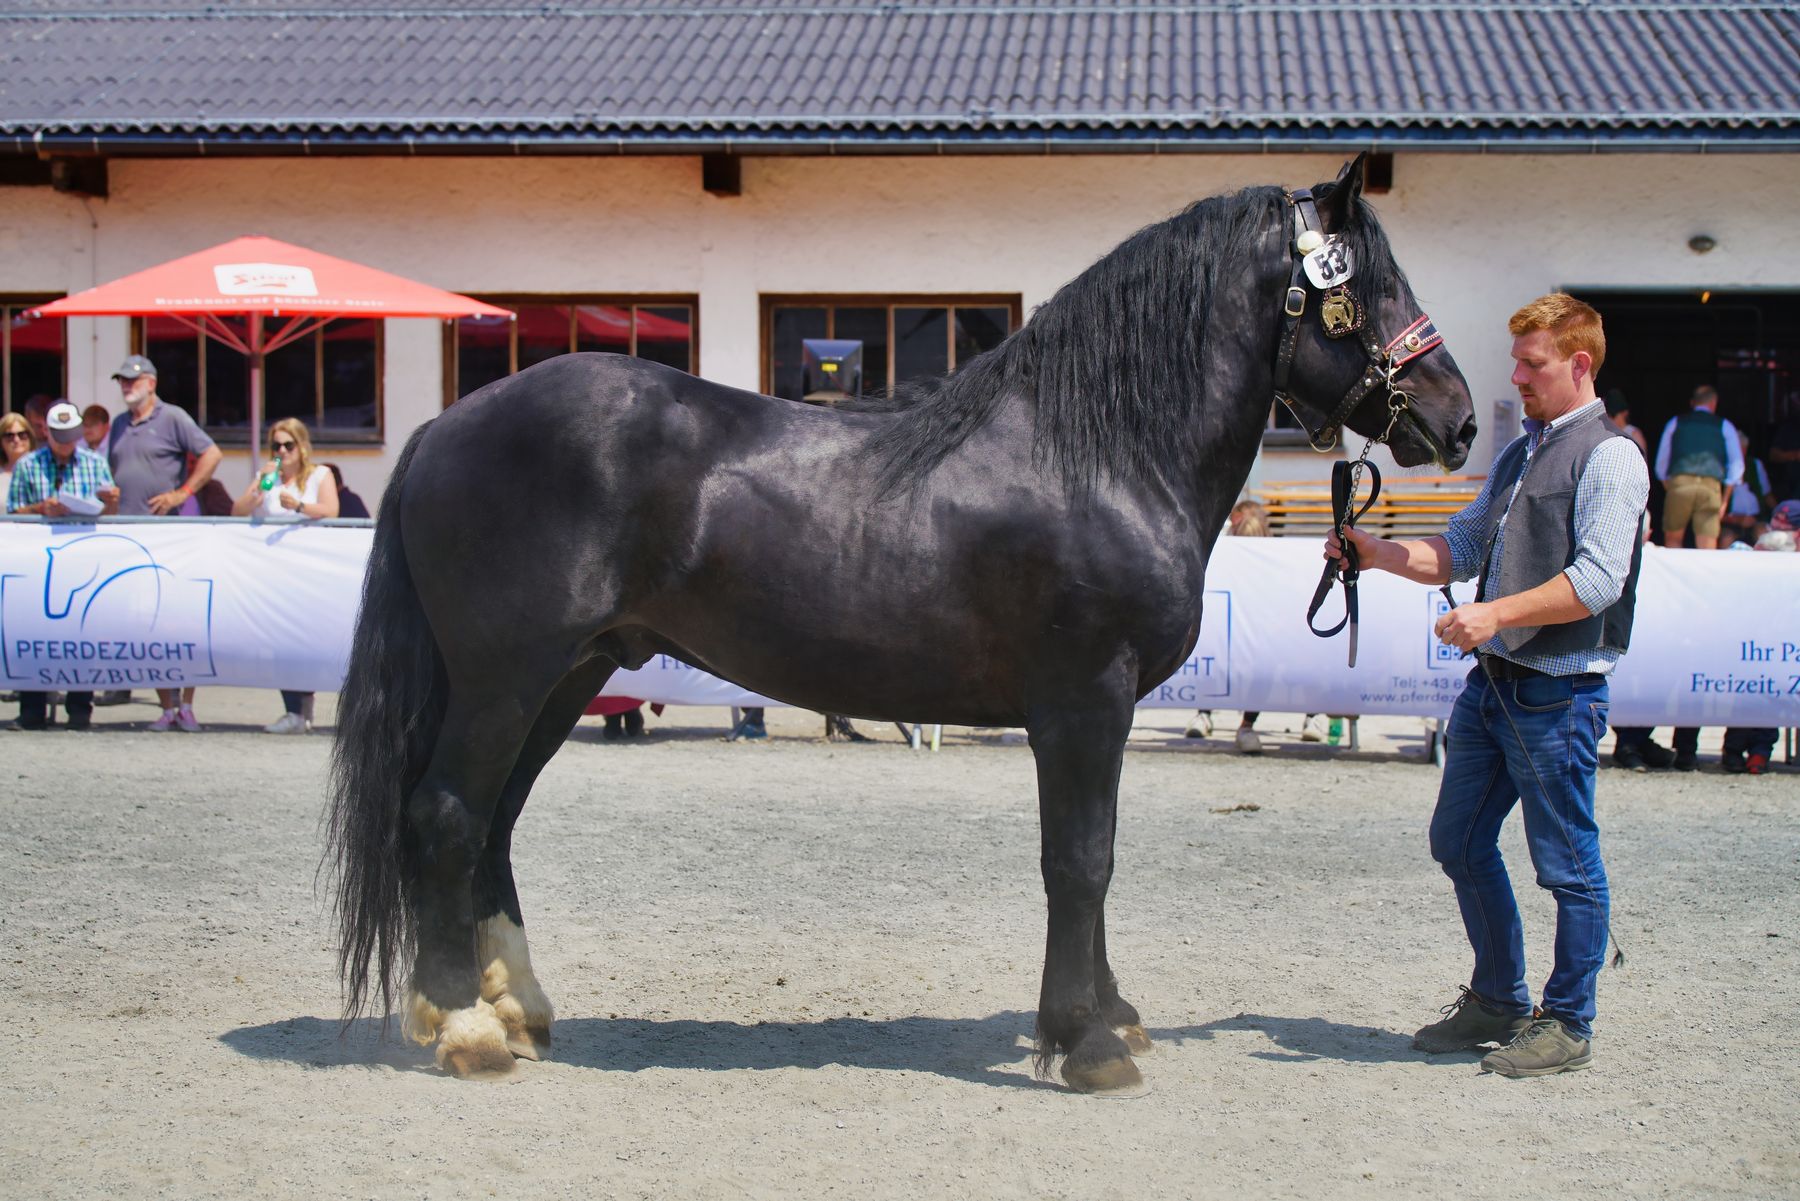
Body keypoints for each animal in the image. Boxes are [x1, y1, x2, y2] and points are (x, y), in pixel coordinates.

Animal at [331, 154, 1468, 1094]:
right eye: (1367, 288)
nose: (1455, 418)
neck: (1098, 452)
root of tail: (446, 425)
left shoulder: (1087, 712)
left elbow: (1091, 860)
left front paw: (1108, 1016)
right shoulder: (1083, 701)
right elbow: (1081, 860)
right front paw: (1088, 1041)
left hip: (568, 676)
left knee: (493, 825)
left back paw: (519, 1010)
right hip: (506, 679)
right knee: (446, 814)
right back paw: (465, 1029)